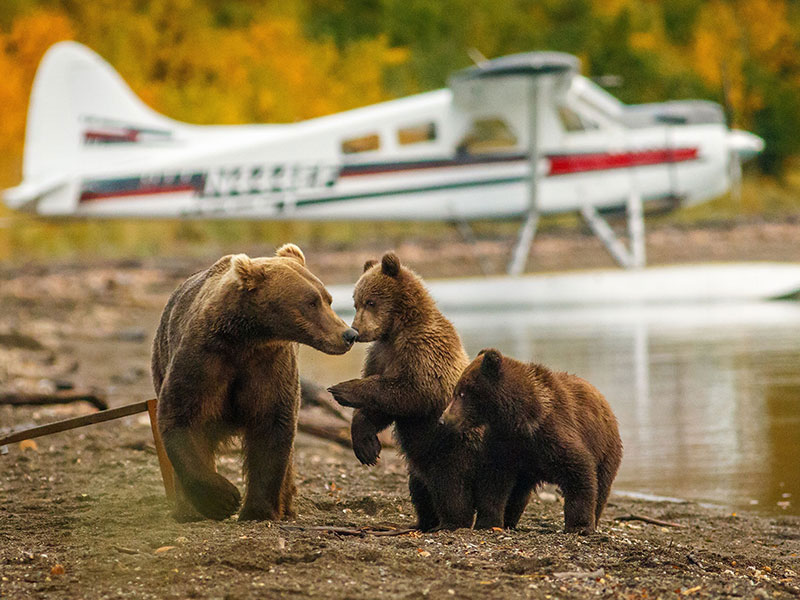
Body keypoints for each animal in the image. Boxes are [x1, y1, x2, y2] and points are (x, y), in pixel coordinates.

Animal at [152, 244, 358, 520]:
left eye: (328, 299)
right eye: (311, 302)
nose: (349, 334)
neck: (247, 339)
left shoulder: (269, 366)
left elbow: (271, 425)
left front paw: (258, 510)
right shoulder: (203, 360)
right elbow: (180, 416)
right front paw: (222, 498)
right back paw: (188, 510)